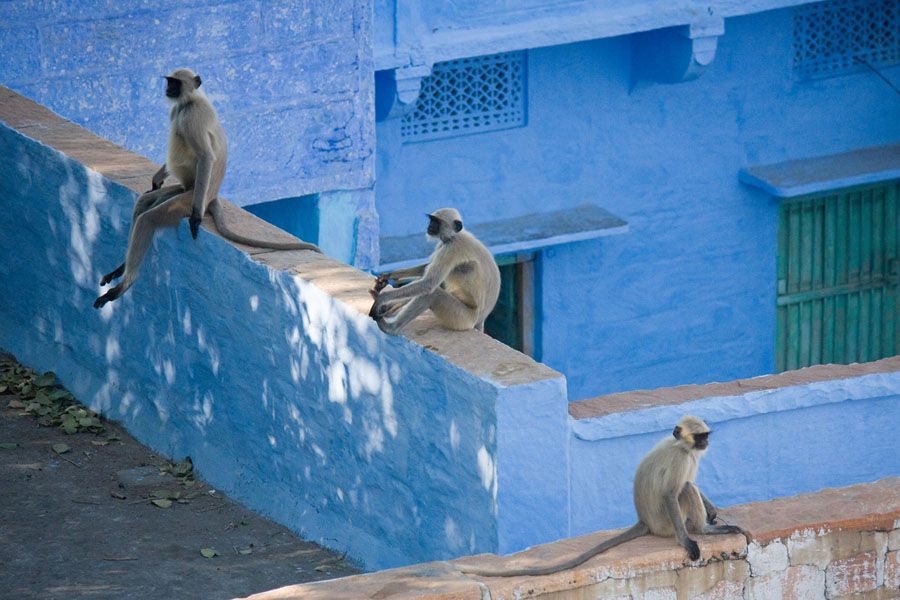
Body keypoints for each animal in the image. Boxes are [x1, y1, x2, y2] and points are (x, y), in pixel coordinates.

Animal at [94, 67, 321, 309]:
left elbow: (205, 156)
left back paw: (124, 284)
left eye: (175, 83)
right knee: (144, 203)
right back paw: (120, 269)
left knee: (148, 218)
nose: (168, 89)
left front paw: (195, 217)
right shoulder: (177, 110)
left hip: (188, 198)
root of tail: (210, 196)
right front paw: (157, 178)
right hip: (183, 190)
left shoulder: (192, 117)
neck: (188, 101)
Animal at [368, 208, 501, 335]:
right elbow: (426, 269)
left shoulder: (452, 248)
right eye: (431, 220)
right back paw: (388, 308)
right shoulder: (443, 245)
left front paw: (382, 298)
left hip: (462, 318)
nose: (429, 226)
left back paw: (390, 328)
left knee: (433, 293)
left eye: (436, 222)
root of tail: (480, 319)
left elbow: (429, 283)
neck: (454, 236)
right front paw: (389, 275)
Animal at [459, 415, 746, 577]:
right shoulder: (681, 459)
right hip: (665, 523)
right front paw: (687, 541)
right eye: (699, 436)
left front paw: (712, 510)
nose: (706, 443)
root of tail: (645, 521)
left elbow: (691, 482)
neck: (681, 446)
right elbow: (671, 492)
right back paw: (703, 530)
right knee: (684, 490)